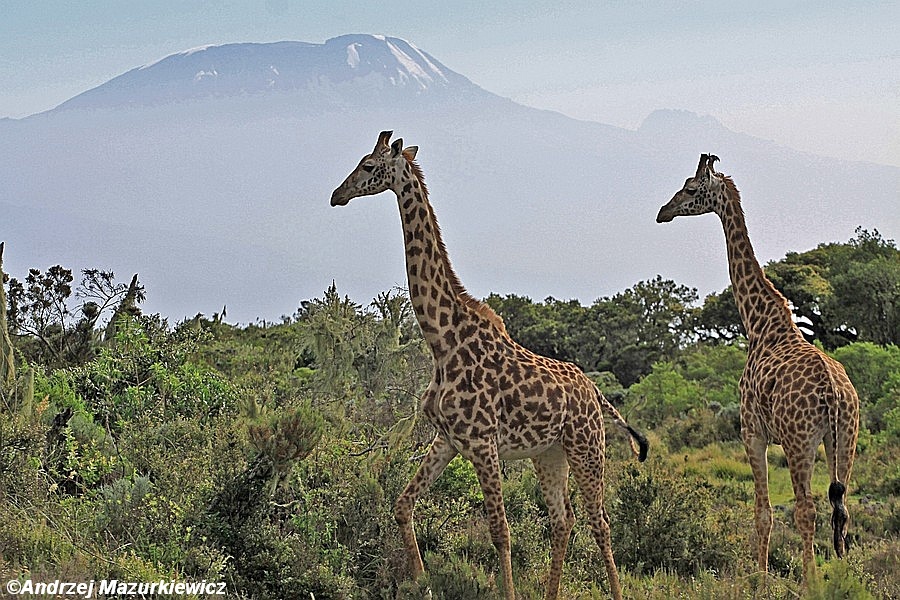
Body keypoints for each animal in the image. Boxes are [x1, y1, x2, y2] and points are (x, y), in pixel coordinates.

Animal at [330, 132, 648, 600]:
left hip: (587, 448)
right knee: (563, 520)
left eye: (369, 166)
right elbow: (403, 503)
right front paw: (421, 580)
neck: (443, 341)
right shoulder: (448, 438)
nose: (337, 194)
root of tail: (596, 394)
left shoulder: (482, 442)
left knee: (601, 523)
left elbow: (500, 531)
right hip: (549, 453)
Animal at [656, 154, 860, 580]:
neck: (760, 323)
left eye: (690, 188)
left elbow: (762, 513)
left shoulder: (751, 432)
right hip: (844, 438)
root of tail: (835, 395)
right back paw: (844, 578)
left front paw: (761, 580)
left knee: (806, 509)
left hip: (801, 441)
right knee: (842, 510)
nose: (662, 212)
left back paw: (812, 581)